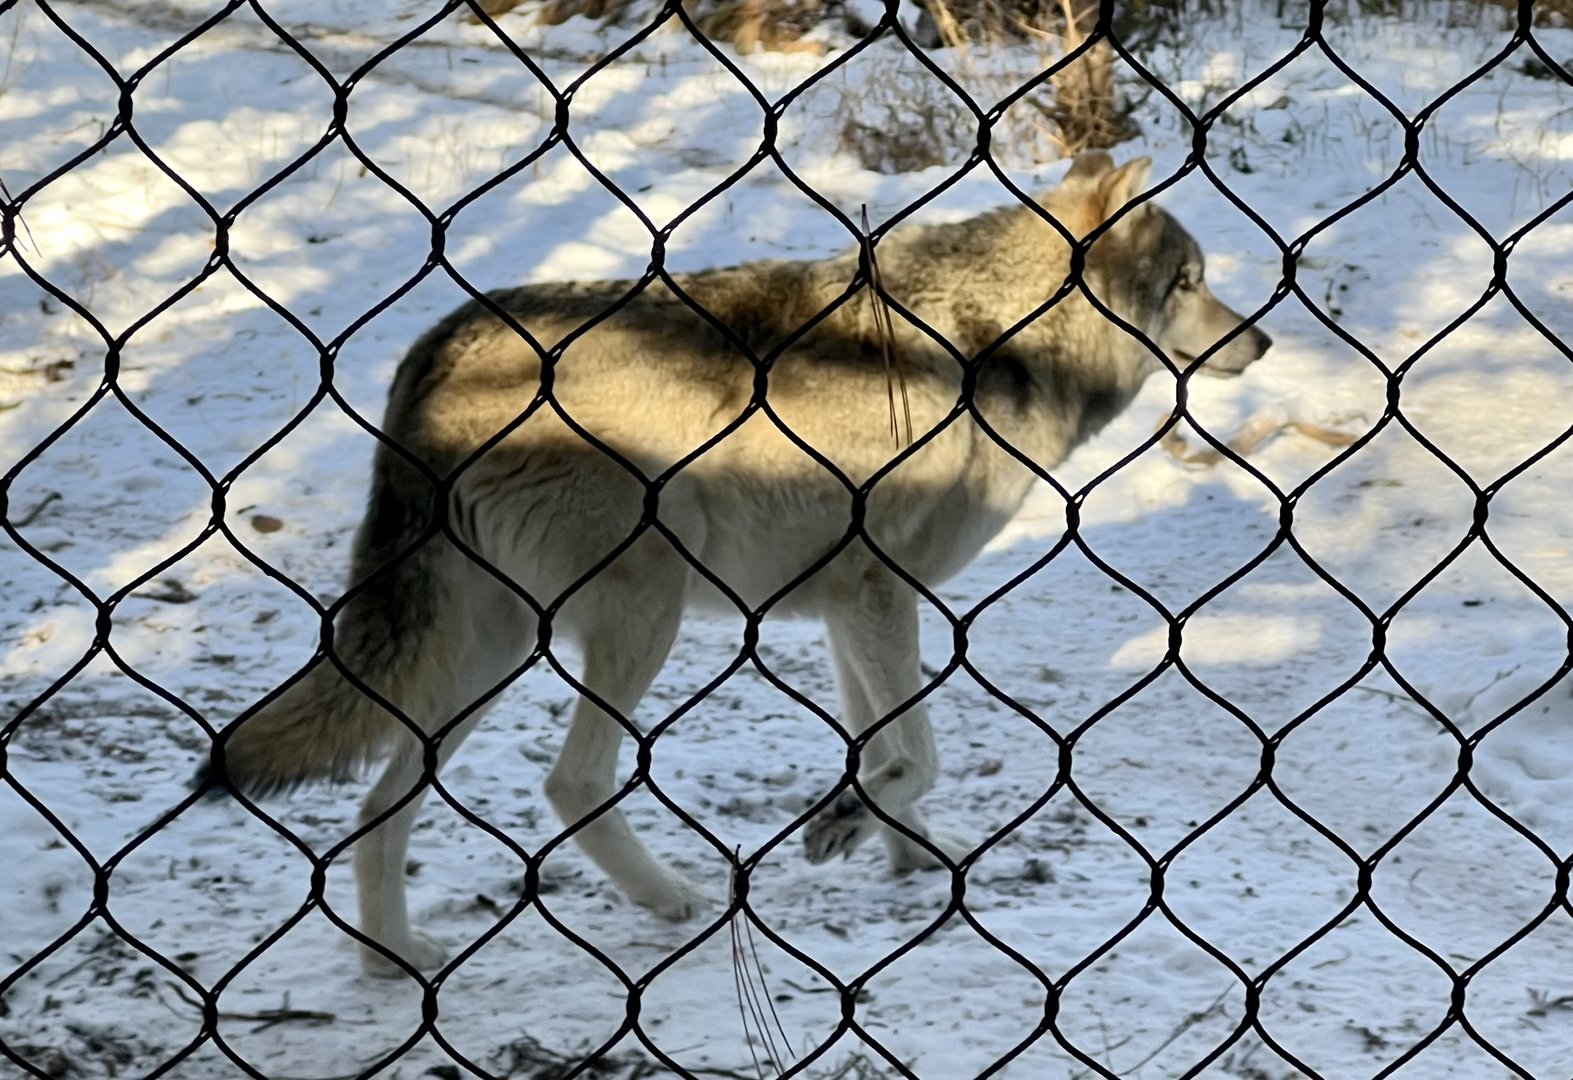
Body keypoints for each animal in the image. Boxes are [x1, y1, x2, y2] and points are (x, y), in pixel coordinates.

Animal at [204, 152, 1271, 976]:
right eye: (1188, 282)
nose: (1259, 341)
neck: (993, 339)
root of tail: (434, 349)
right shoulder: (881, 593)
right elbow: (916, 753)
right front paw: (850, 828)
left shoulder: (849, 609)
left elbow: (884, 751)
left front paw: (898, 850)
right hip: (645, 612)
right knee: (571, 783)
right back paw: (673, 899)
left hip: (491, 653)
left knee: (380, 803)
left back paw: (395, 959)